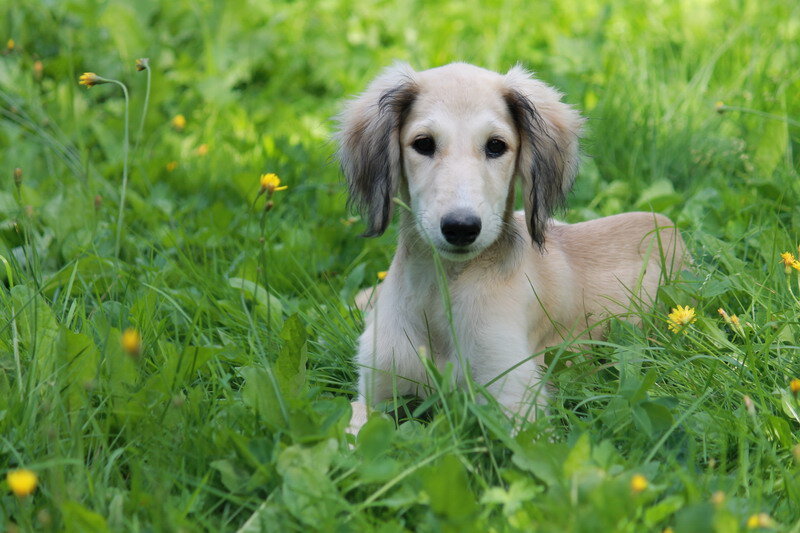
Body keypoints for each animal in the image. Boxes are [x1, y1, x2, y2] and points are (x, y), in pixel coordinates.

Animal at [338, 61, 688, 432]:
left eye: (495, 146)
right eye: (423, 143)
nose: (461, 228)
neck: (442, 290)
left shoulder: (517, 404)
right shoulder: (374, 394)